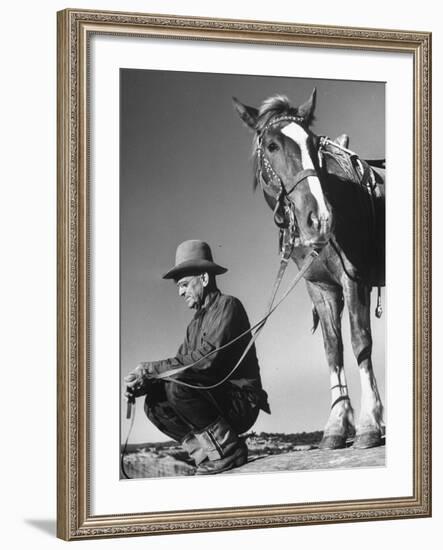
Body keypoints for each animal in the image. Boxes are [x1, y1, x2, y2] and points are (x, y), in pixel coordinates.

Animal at [234, 88, 386, 450]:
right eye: (271, 146)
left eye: (314, 143)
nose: (320, 219)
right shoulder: (320, 289)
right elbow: (333, 349)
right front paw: (336, 425)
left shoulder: (354, 279)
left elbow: (360, 342)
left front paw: (369, 423)